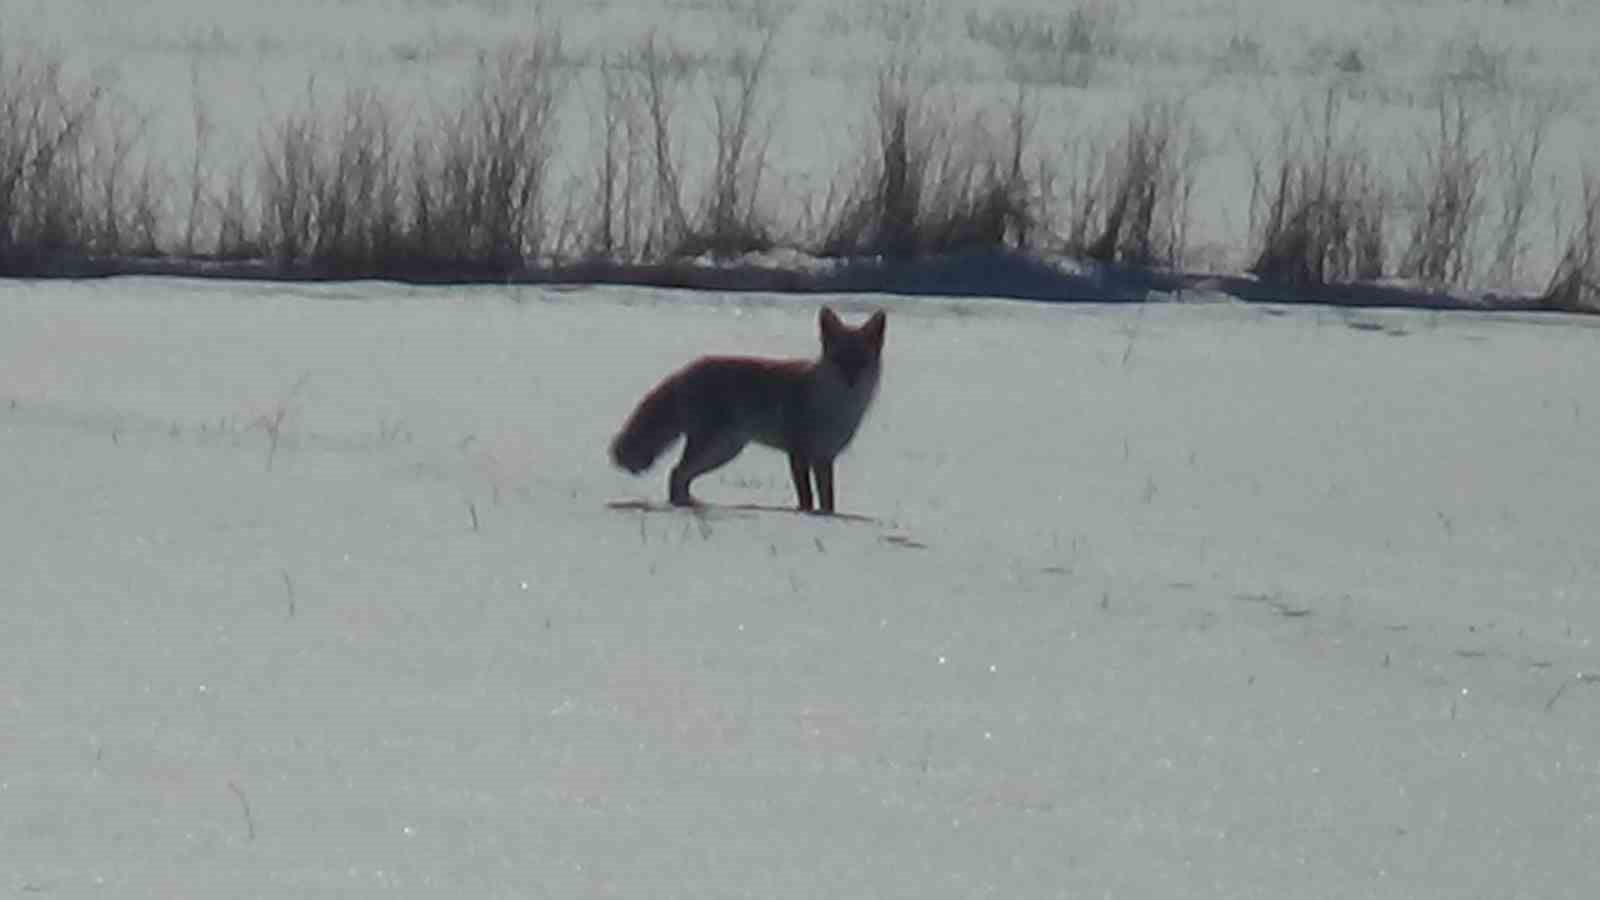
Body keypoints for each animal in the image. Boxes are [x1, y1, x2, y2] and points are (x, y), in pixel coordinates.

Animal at [608, 304, 889, 512]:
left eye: (861, 361)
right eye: (839, 359)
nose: (851, 380)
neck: (835, 408)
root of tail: (686, 370)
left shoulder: (824, 457)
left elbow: (827, 500)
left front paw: (828, 519)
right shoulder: (798, 453)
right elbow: (807, 499)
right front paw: (807, 518)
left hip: (725, 450)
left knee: (679, 475)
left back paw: (692, 504)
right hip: (715, 447)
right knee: (677, 472)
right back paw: (686, 507)